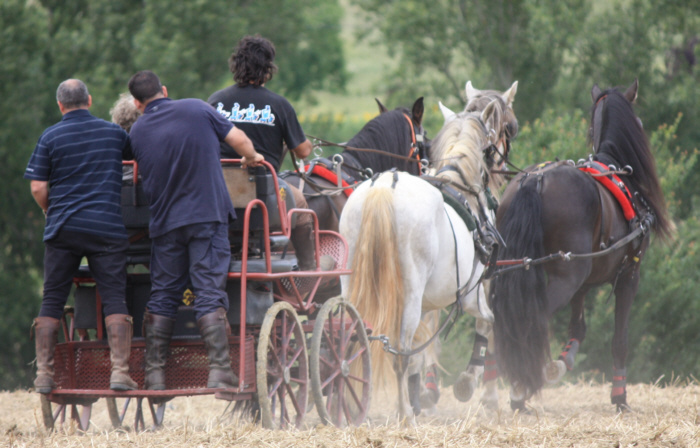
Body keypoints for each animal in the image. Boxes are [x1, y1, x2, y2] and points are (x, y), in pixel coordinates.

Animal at [339, 97, 512, 422]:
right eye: (491, 145)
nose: (496, 180)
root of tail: (385, 187)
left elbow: (422, 351)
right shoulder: (470, 293)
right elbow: (488, 323)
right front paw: (467, 382)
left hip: (350, 286)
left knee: (349, 340)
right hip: (409, 295)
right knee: (399, 351)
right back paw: (404, 413)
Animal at [490, 79, 674, 412]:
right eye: (639, 121)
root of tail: (534, 180)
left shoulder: (584, 283)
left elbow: (578, 329)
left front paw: (565, 360)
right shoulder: (629, 276)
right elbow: (620, 341)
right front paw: (619, 397)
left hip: (520, 272)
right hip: (566, 277)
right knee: (529, 320)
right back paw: (522, 389)